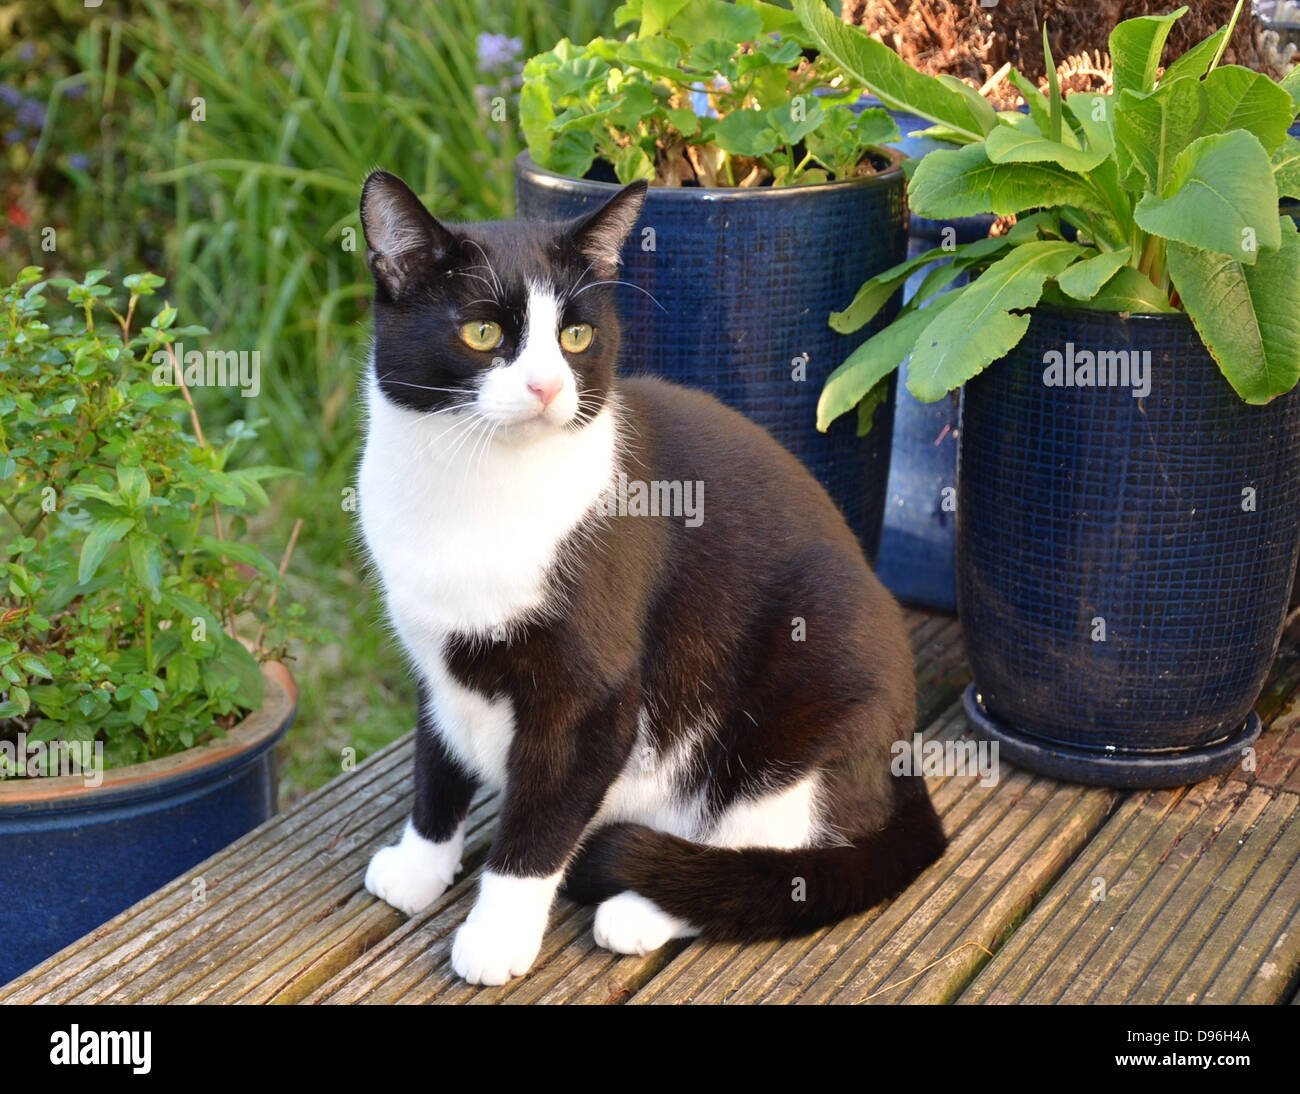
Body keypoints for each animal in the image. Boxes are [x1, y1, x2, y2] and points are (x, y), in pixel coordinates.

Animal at [356, 168, 946, 982]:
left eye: (575, 337)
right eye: (482, 334)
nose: (547, 388)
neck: (470, 487)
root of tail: (903, 760)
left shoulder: (593, 696)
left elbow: (539, 821)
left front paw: (497, 933)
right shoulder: (436, 659)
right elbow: (435, 763)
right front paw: (419, 867)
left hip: (807, 704)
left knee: (780, 860)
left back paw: (641, 909)